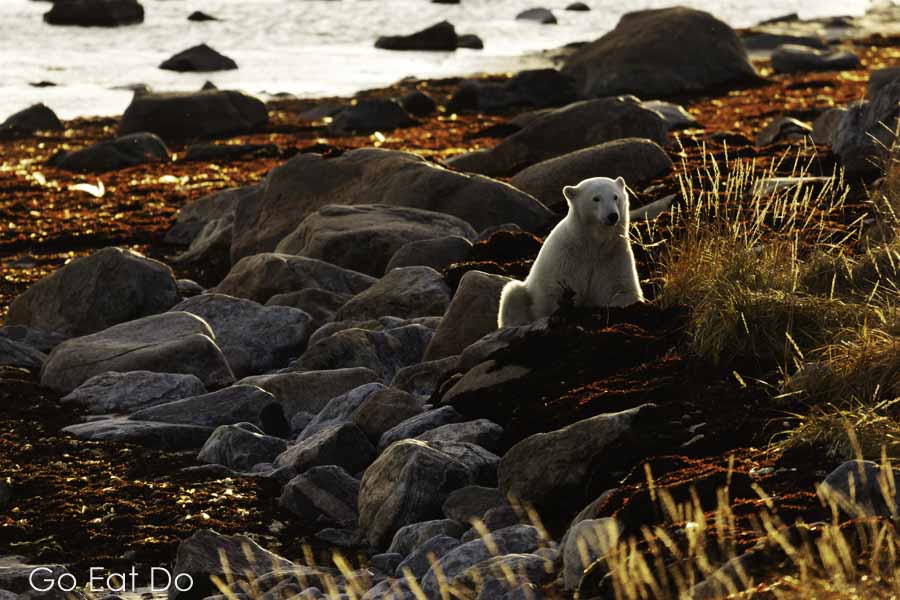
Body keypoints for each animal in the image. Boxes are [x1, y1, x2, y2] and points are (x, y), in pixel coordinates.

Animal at [500, 176, 640, 328]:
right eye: (596, 198)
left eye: (616, 197)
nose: (612, 216)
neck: (591, 245)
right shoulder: (566, 258)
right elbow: (556, 290)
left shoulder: (613, 255)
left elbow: (621, 289)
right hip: (525, 291)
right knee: (512, 294)